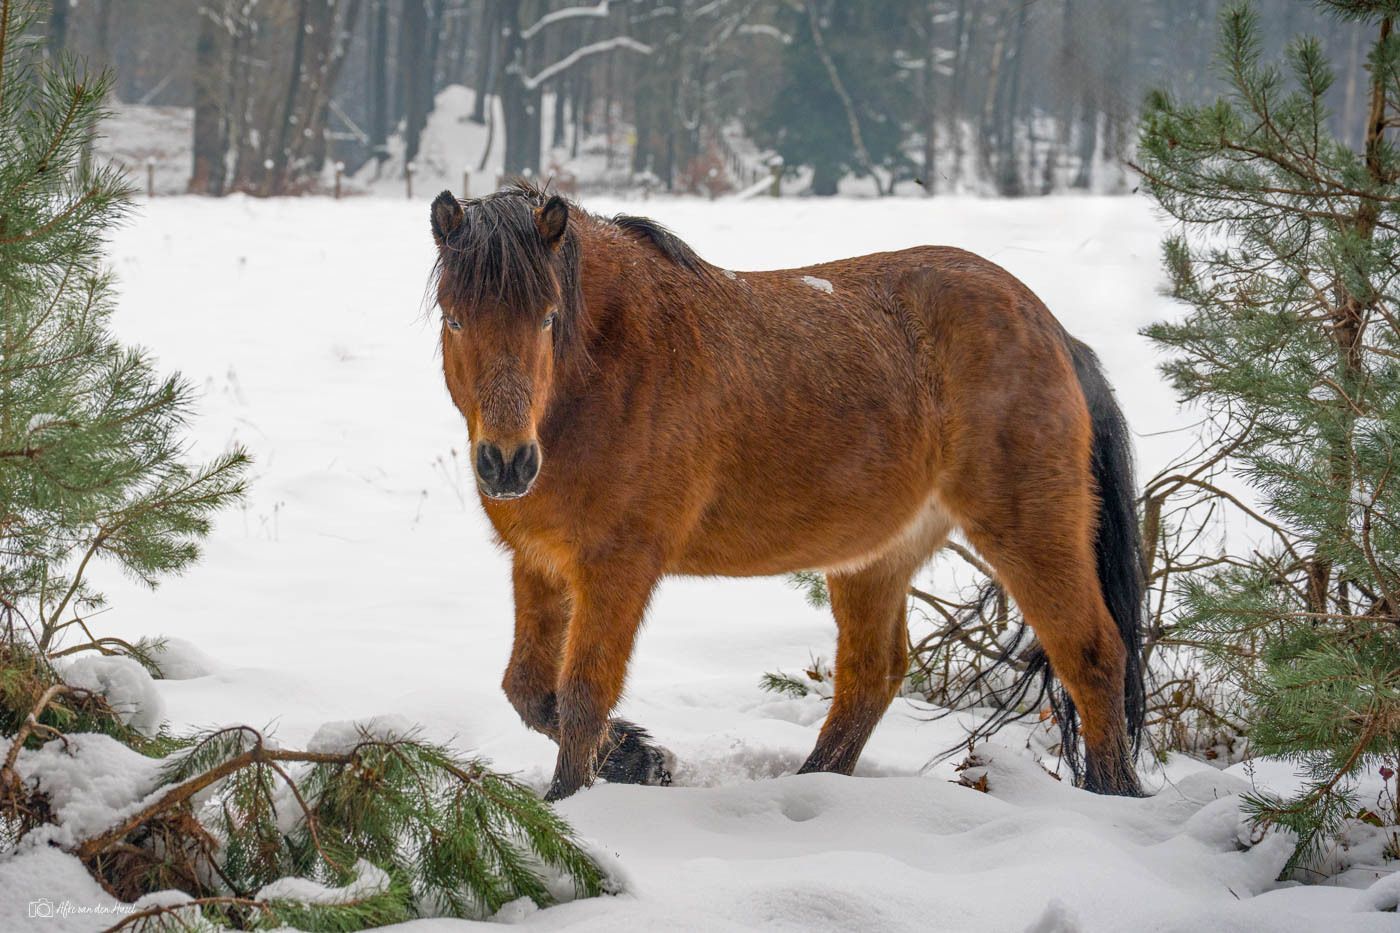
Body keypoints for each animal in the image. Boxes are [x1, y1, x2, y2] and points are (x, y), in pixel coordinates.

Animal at [428, 182, 1146, 801]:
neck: (610, 368)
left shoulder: (618, 568)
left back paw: (1113, 795)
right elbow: (528, 690)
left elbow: (582, 696)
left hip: (1031, 531)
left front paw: (572, 801)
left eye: (549, 317)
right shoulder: (541, 563)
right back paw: (812, 785)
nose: (507, 463)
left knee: (1093, 656)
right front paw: (639, 758)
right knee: (871, 676)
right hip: (876, 556)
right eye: (455, 319)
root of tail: (1052, 330)